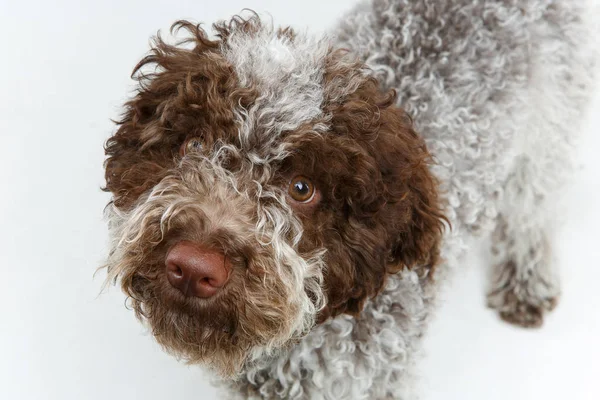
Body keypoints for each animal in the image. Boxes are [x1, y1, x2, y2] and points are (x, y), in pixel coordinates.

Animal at [103, 1, 596, 398]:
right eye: (193, 145)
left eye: (303, 189)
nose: (192, 266)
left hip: (550, 128)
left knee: (532, 210)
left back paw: (526, 281)